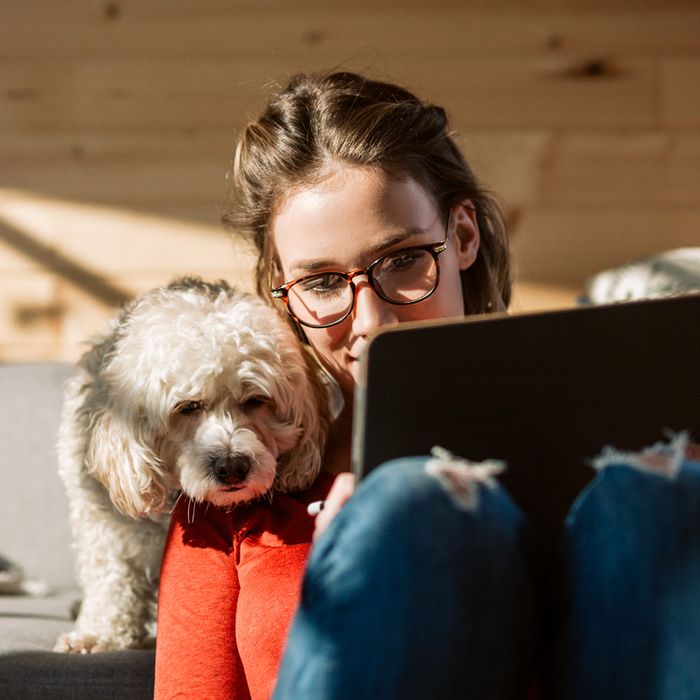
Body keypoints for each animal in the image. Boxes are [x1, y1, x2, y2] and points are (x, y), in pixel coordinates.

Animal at [54, 276, 328, 652]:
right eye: (188, 406)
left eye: (256, 400)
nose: (232, 466)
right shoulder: (103, 523)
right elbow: (111, 576)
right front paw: (100, 633)